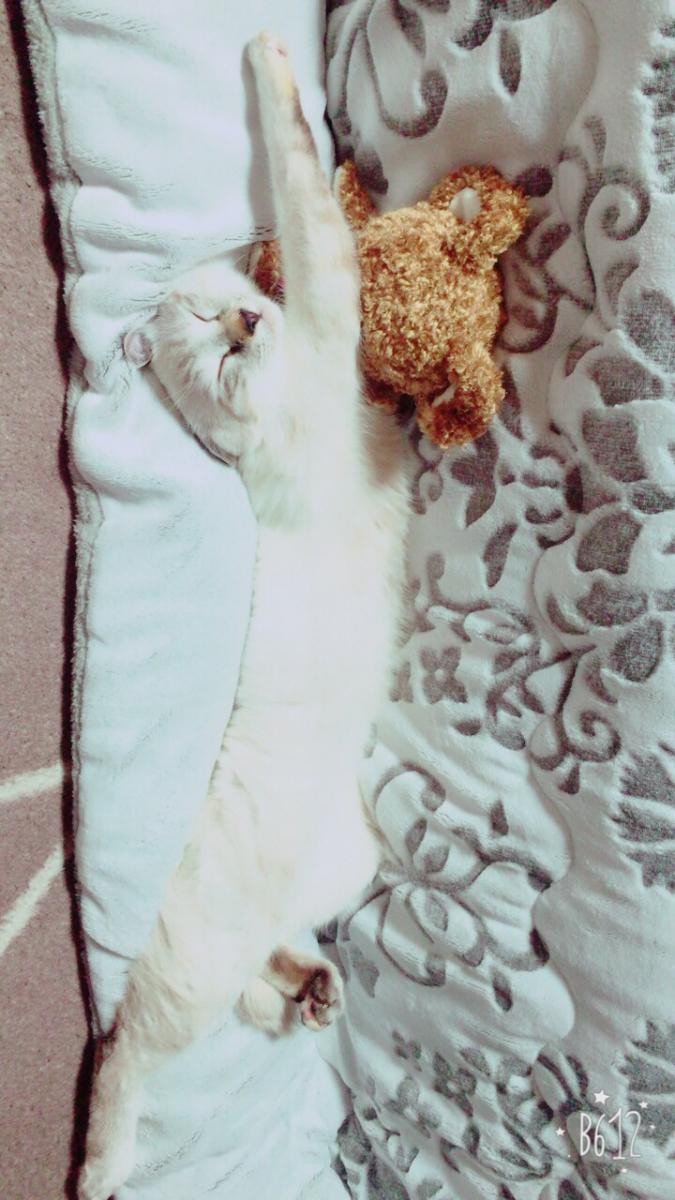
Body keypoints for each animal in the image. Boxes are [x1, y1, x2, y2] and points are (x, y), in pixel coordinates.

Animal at [78, 32, 410, 1200]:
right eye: (221, 360)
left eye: (211, 324)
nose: (243, 319)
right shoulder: (329, 299)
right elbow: (307, 191)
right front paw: (273, 64)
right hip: (191, 969)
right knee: (129, 1051)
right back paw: (103, 1160)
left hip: (346, 866)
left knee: (264, 973)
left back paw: (312, 991)